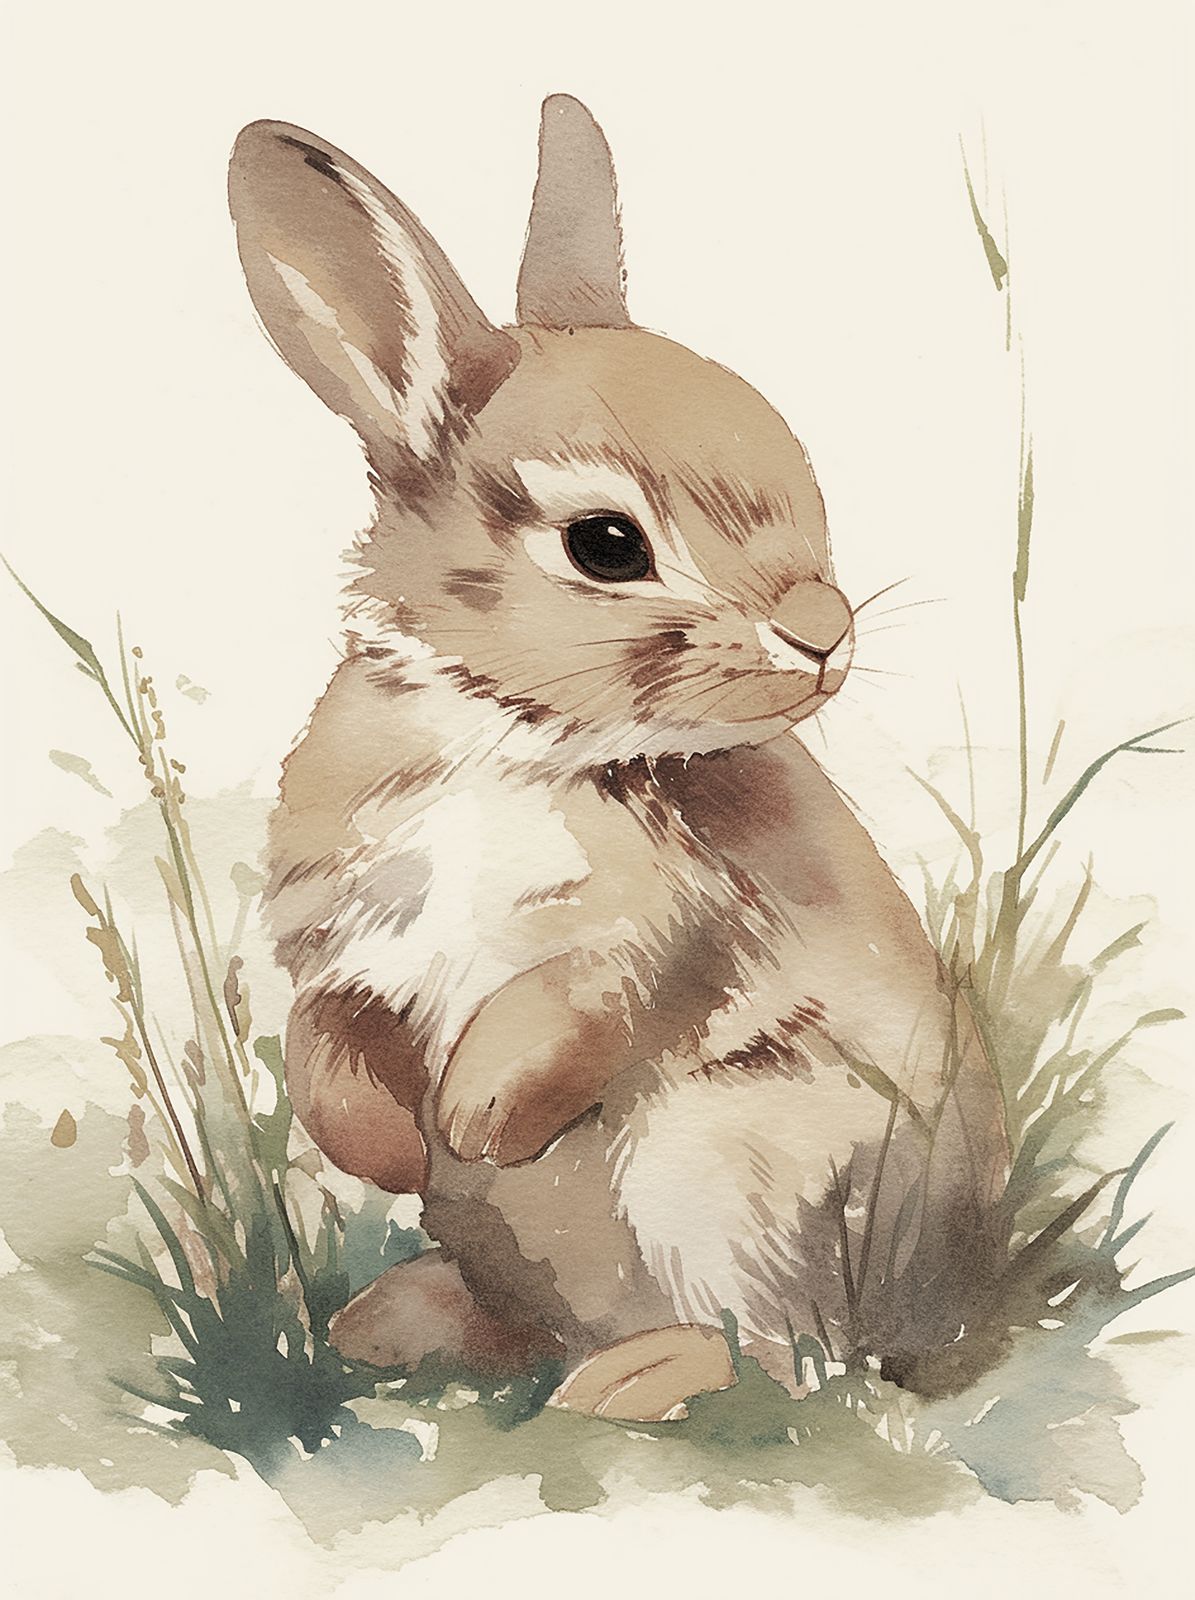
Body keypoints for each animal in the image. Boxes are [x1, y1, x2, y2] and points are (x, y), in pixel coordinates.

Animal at [228, 94, 1010, 1420]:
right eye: (606, 543)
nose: (823, 635)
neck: (504, 731)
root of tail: (944, 1313)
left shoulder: (648, 933)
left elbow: (569, 1010)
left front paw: (477, 1119)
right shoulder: (340, 946)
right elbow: (321, 1050)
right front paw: (397, 1143)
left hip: (736, 1178)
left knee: (786, 1361)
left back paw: (624, 1382)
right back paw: (393, 1325)